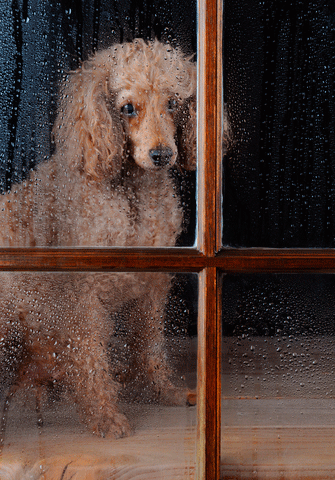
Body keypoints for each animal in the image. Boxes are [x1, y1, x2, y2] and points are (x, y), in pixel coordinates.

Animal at [0, 40, 197, 438]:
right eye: (127, 108)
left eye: (173, 102)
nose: (162, 154)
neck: (133, 199)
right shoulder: (82, 295)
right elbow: (90, 355)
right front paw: (104, 415)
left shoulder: (152, 286)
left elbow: (149, 345)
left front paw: (159, 389)